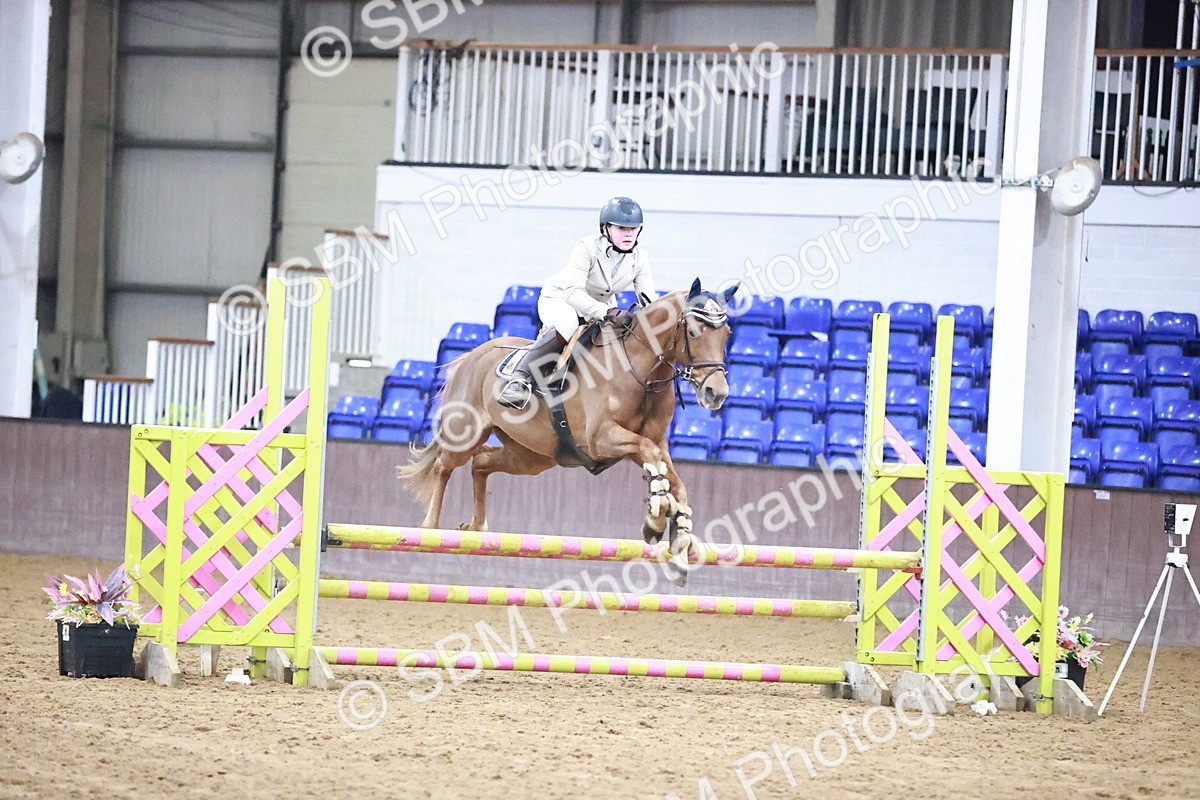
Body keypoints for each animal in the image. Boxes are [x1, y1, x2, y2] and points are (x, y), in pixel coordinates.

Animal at [399, 279, 737, 563]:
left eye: (727, 334)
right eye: (693, 331)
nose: (716, 393)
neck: (639, 370)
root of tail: (473, 355)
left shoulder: (650, 443)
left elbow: (674, 481)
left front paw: (679, 529)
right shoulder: (603, 438)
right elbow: (653, 459)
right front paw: (655, 521)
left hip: (533, 457)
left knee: (481, 463)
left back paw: (478, 527)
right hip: (466, 434)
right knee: (444, 466)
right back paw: (430, 526)